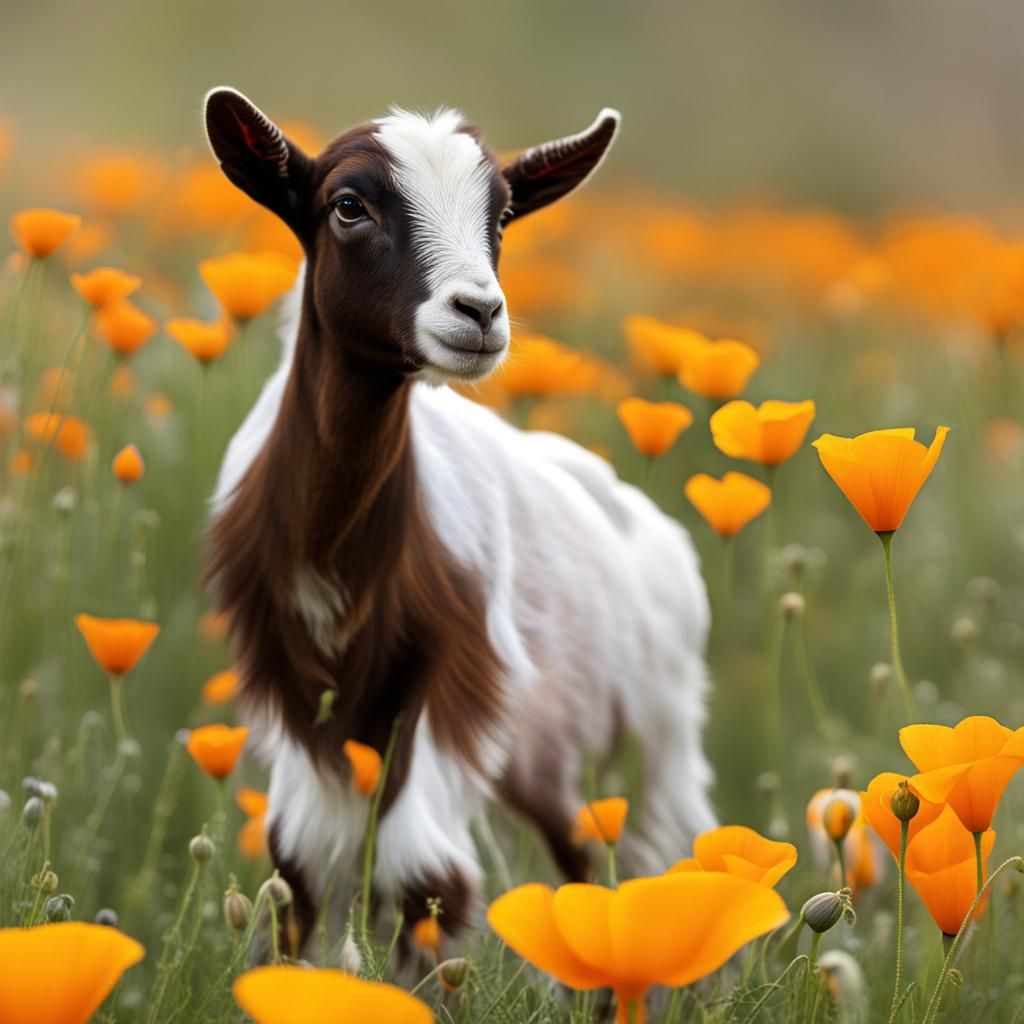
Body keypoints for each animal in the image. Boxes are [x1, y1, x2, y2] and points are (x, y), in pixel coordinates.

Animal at [203, 87, 716, 956]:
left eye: (501, 216)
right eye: (348, 205)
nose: (479, 312)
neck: (335, 558)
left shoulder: (457, 672)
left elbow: (425, 871)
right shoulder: (296, 688)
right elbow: (299, 866)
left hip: (658, 725)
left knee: (661, 848)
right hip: (546, 756)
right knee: (575, 855)